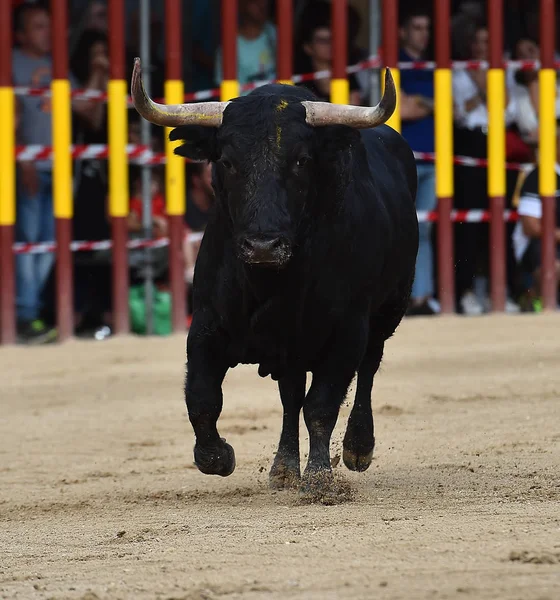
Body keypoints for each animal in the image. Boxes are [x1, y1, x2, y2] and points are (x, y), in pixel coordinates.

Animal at [131, 58, 418, 494]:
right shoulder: (207, 326)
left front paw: (320, 478)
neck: (272, 282)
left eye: (301, 160)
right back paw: (283, 468)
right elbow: (202, 396)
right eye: (227, 161)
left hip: (387, 313)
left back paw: (357, 447)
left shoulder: (346, 331)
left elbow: (322, 405)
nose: (264, 246)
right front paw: (217, 456)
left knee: (367, 370)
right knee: (290, 396)